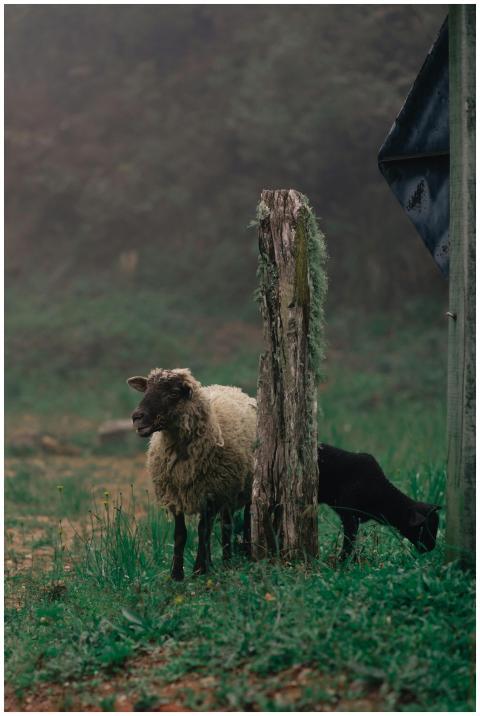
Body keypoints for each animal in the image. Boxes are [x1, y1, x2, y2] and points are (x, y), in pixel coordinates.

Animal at [127, 368, 256, 580]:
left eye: (173, 393)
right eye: (146, 390)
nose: (137, 417)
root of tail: (233, 388)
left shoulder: (210, 493)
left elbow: (203, 530)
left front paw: (199, 569)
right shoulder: (176, 494)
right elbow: (181, 534)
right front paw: (177, 574)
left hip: (243, 486)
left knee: (244, 519)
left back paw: (241, 554)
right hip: (226, 491)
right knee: (226, 523)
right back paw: (222, 561)